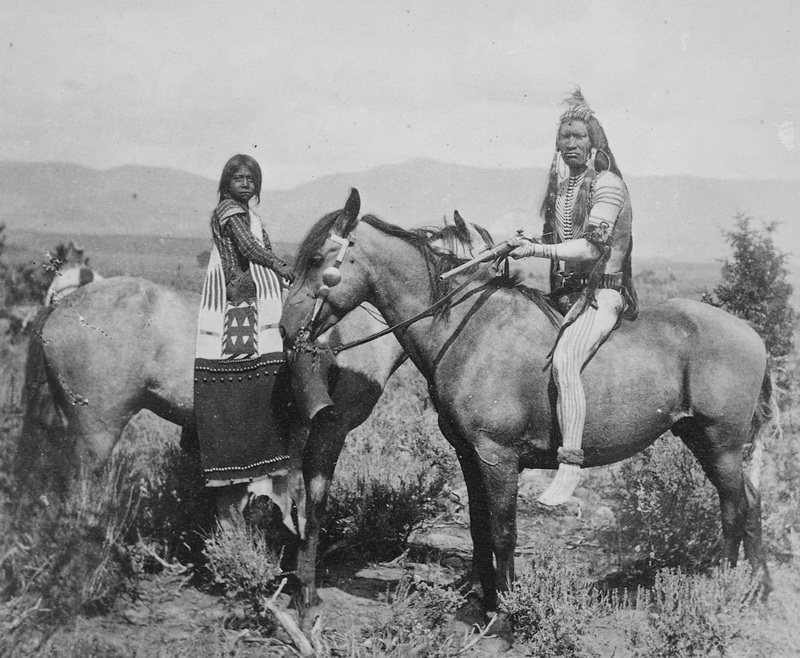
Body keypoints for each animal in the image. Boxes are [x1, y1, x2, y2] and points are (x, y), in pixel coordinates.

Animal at [280, 188, 774, 632]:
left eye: (319, 258)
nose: (285, 329)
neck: (468, 330)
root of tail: (752, 332)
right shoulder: (470, 455)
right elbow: (479, 528)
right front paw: (482, 602)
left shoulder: (498, 457)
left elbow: (503, 532)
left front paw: (505, 615)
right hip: (699, 438)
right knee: (747, 503)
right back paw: (757, 588)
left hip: (722, 443)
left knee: (736, 507)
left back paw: (731, 590)